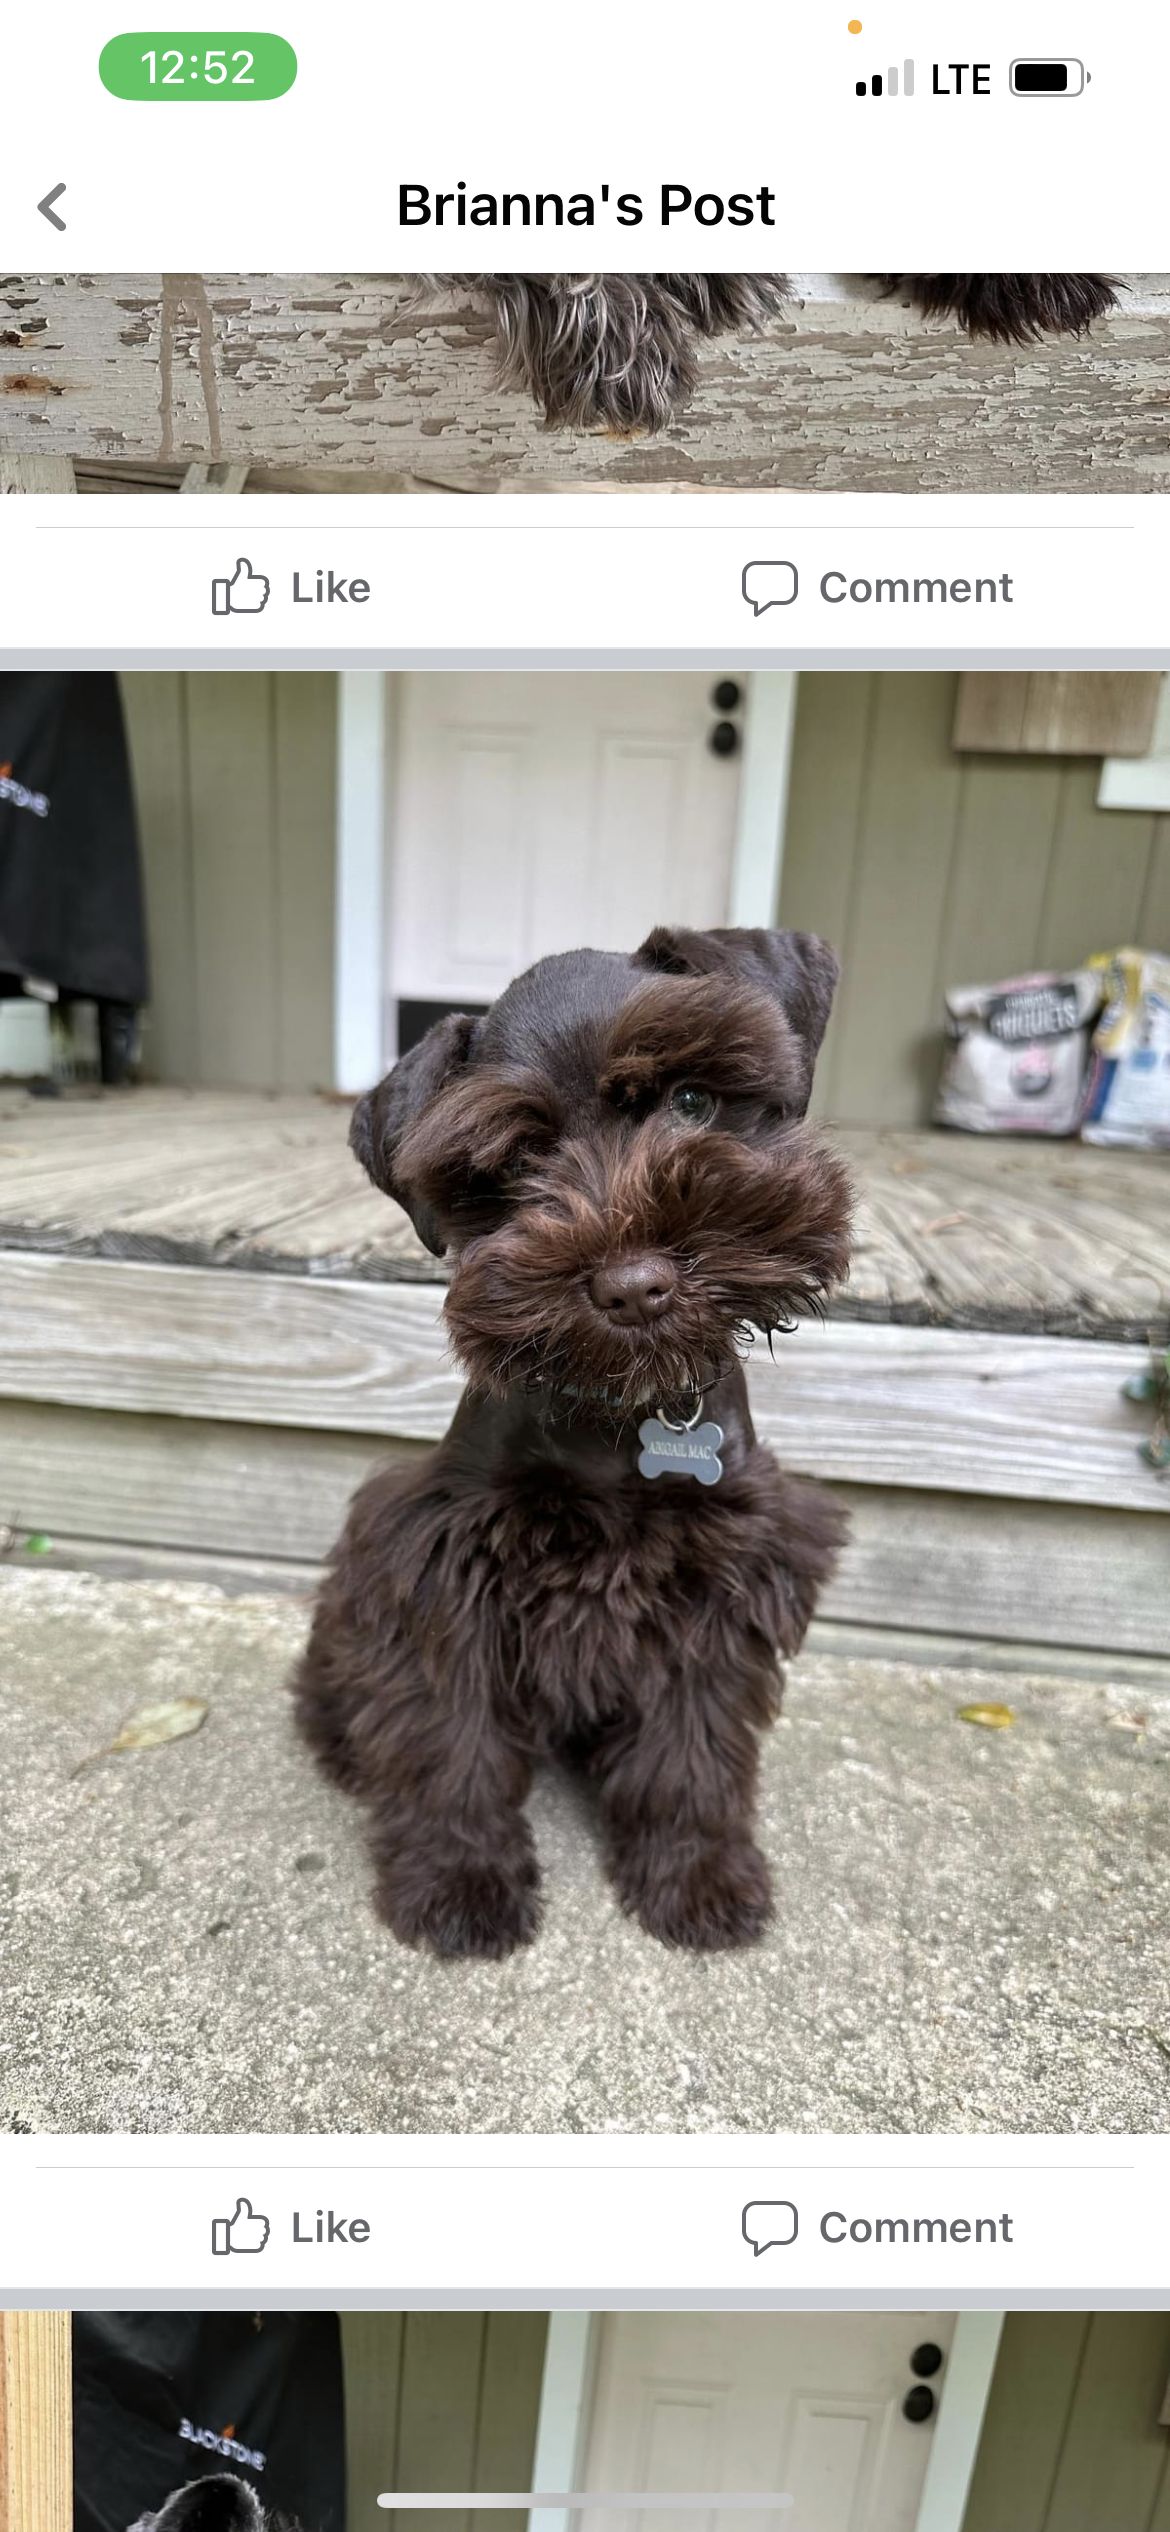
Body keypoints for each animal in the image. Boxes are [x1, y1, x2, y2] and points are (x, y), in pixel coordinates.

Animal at [295, 926, 850, 1954]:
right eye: (511, 1165)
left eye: (692, 1101)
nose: (634, 1286)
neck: (622, 1418)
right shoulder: (447, 1571)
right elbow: (452, 1742)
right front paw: (459, 1883)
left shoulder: (721, 1587)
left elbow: (690, 1752)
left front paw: (696, 1877)